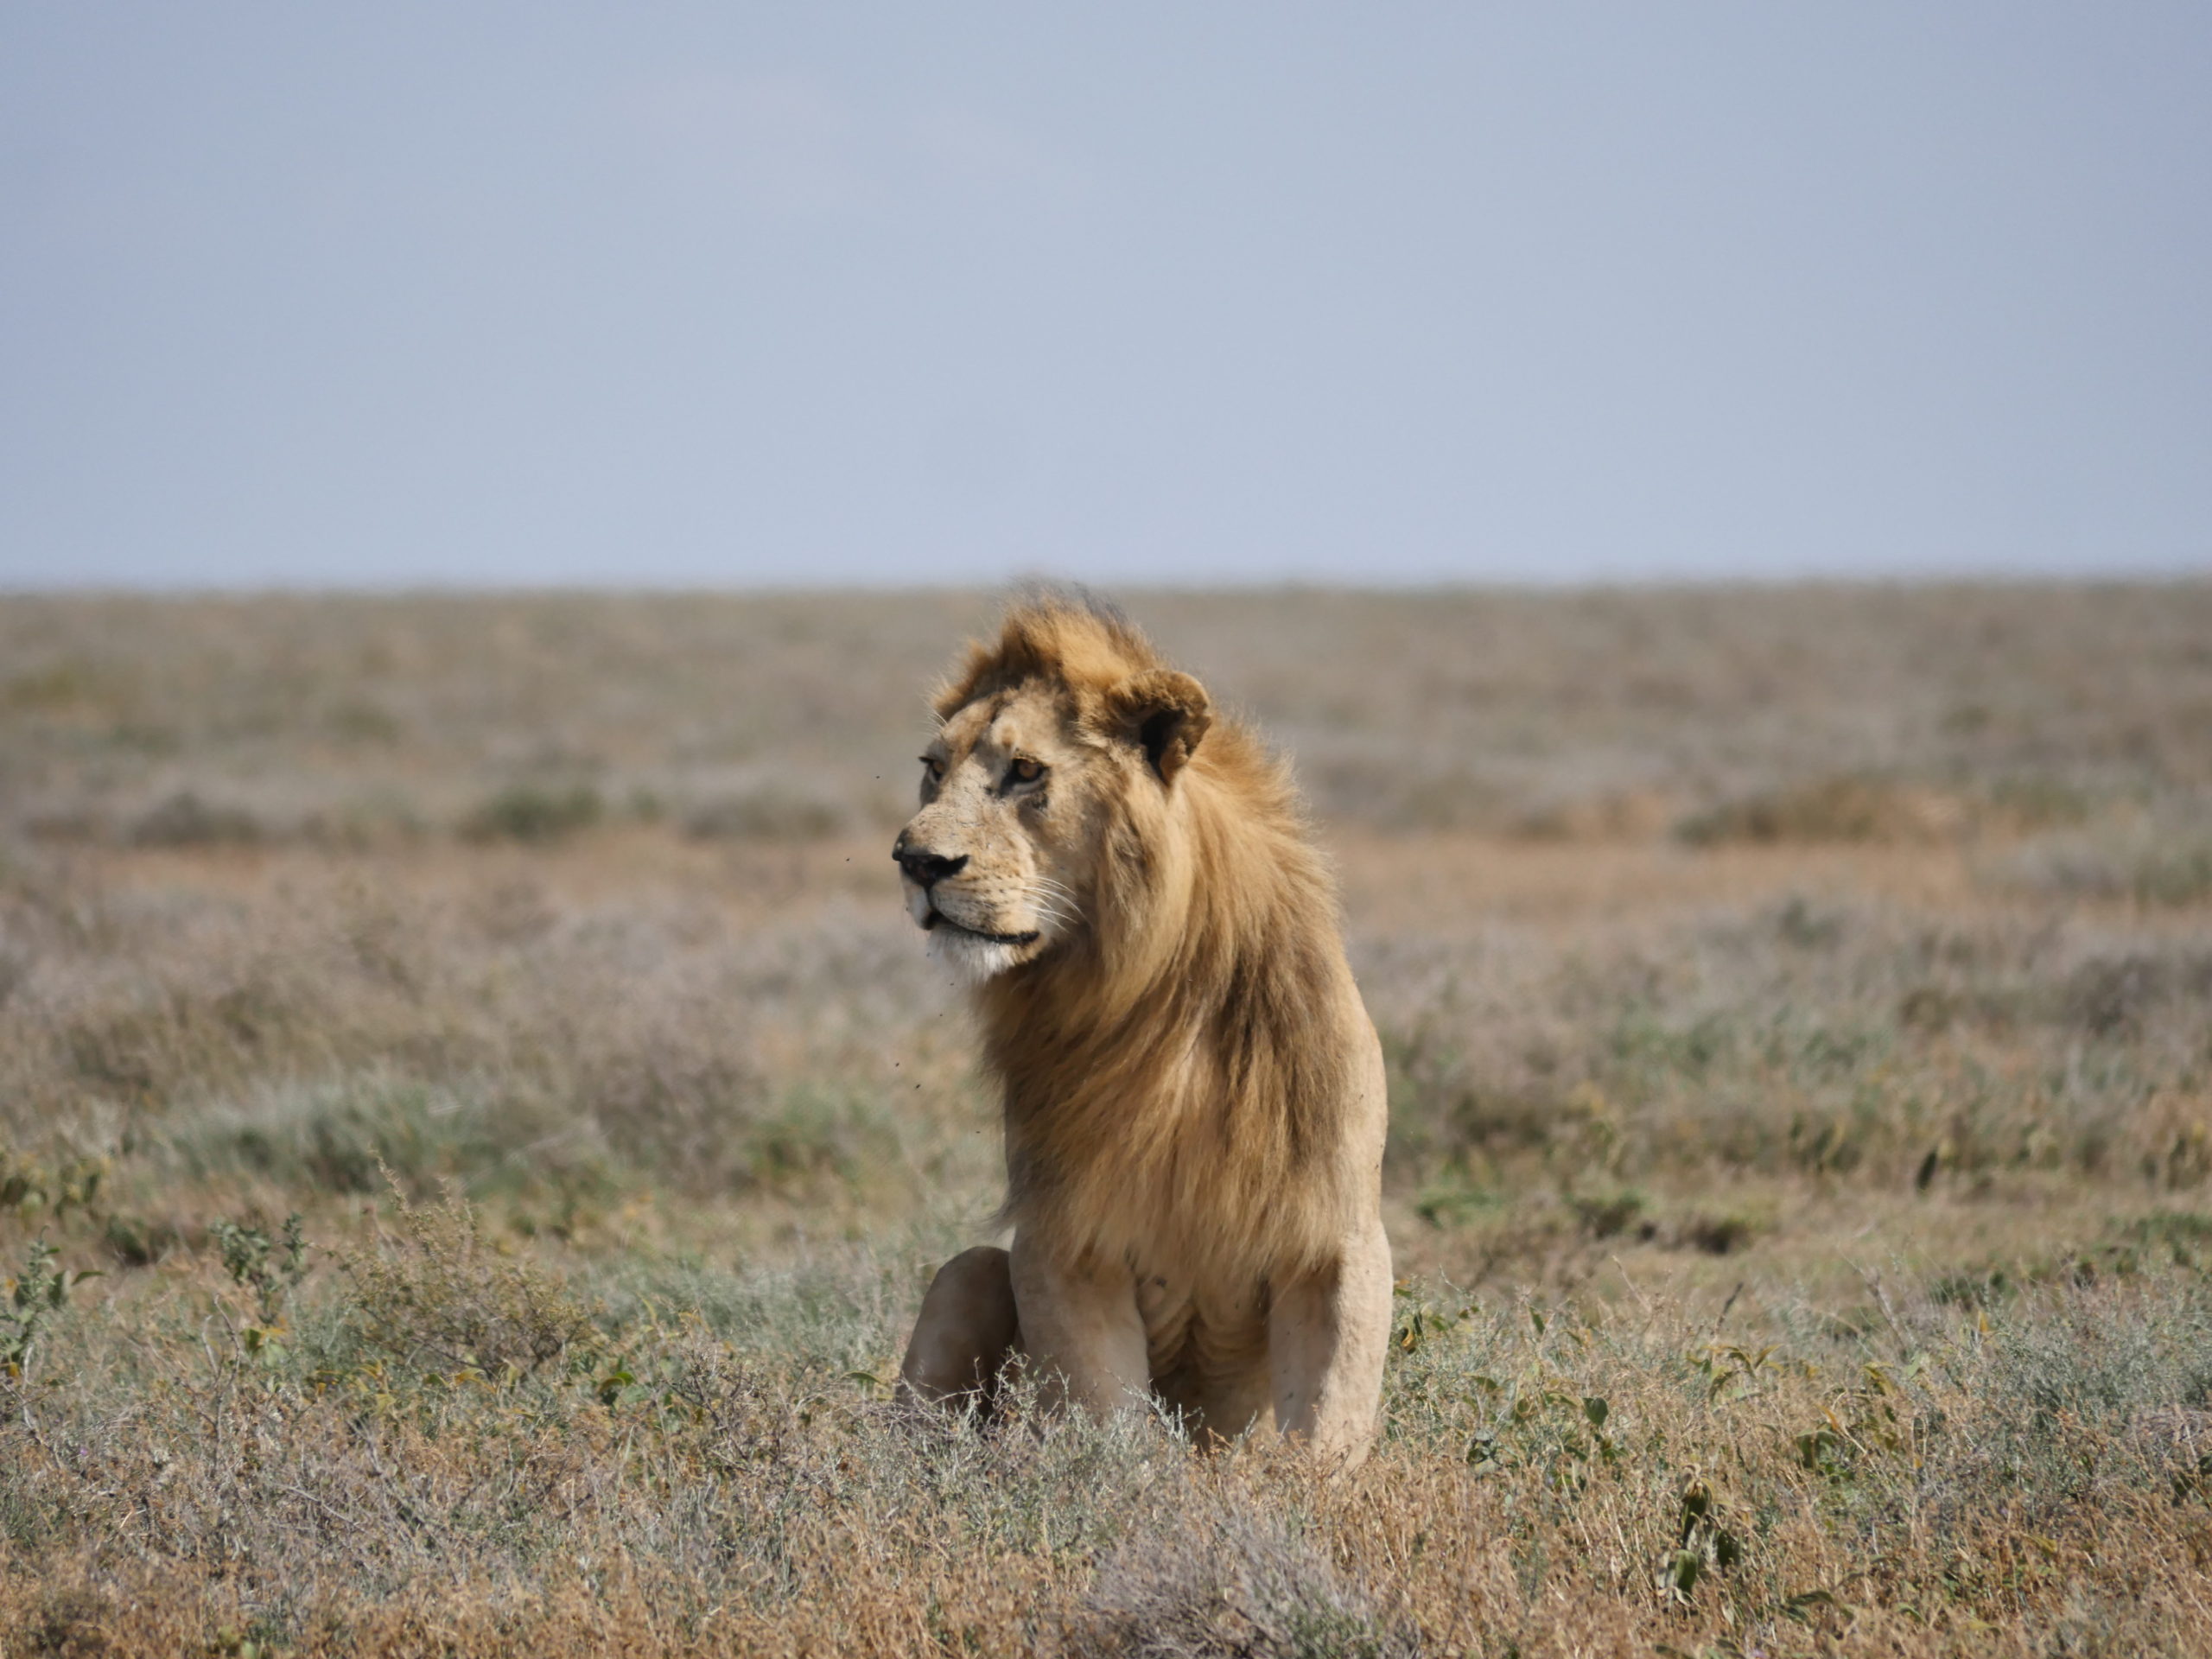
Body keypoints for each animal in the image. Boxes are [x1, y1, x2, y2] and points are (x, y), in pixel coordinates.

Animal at [892, 591, 1392, 1463]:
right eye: (933, 769)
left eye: (1026, 771)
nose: (915, 862)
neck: (1152, 1004)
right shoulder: (1063, 1240)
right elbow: (1110, 1419)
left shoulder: (1341, 1238)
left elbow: (1328, 1427)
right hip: (969, 1274)